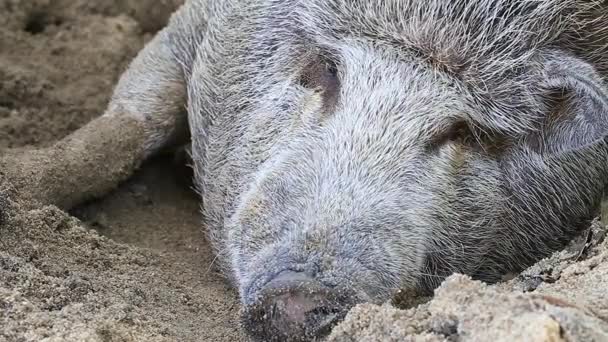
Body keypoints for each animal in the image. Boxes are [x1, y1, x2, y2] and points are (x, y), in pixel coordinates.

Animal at [9, 0, 608, 340]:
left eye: (459, 131)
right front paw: (16, 185)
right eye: (326, 71)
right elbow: (135, 117)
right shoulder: (202, 21)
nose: (298, 294)